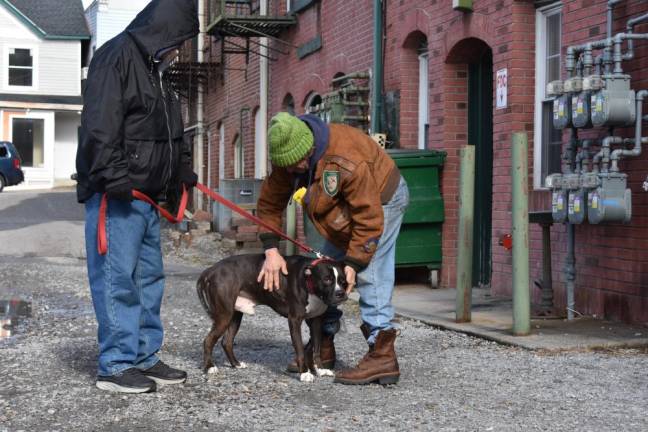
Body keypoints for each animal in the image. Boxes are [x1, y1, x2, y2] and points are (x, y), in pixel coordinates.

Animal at [197, 253, 350, 382]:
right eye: (327, 279)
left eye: (343, 281)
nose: (340, 294)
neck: (309, 282)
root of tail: (210, 270)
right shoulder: (294, 320)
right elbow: (300, 349)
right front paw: (305, 373)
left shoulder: (317, 321)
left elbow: (316, 349)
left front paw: (320, 369)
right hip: (224, 316)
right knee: (208, 340)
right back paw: (210, 367)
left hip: (235, 316)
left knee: (227, 342)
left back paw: (236, 364)